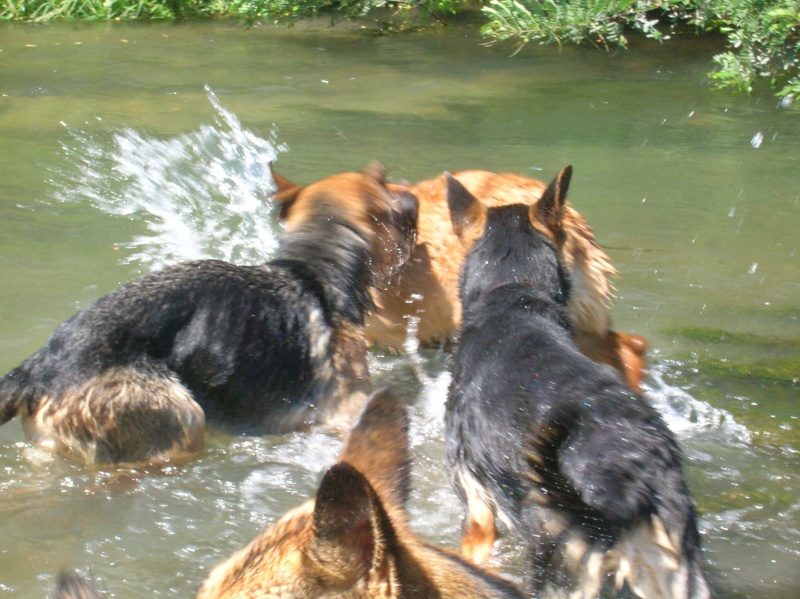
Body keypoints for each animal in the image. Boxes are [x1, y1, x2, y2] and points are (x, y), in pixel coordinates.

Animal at [1, 162, 418, 466]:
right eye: (390, 190)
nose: (414, 199)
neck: (316, 264)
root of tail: (38, 369)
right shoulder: (343, 413)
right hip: (181, 421)